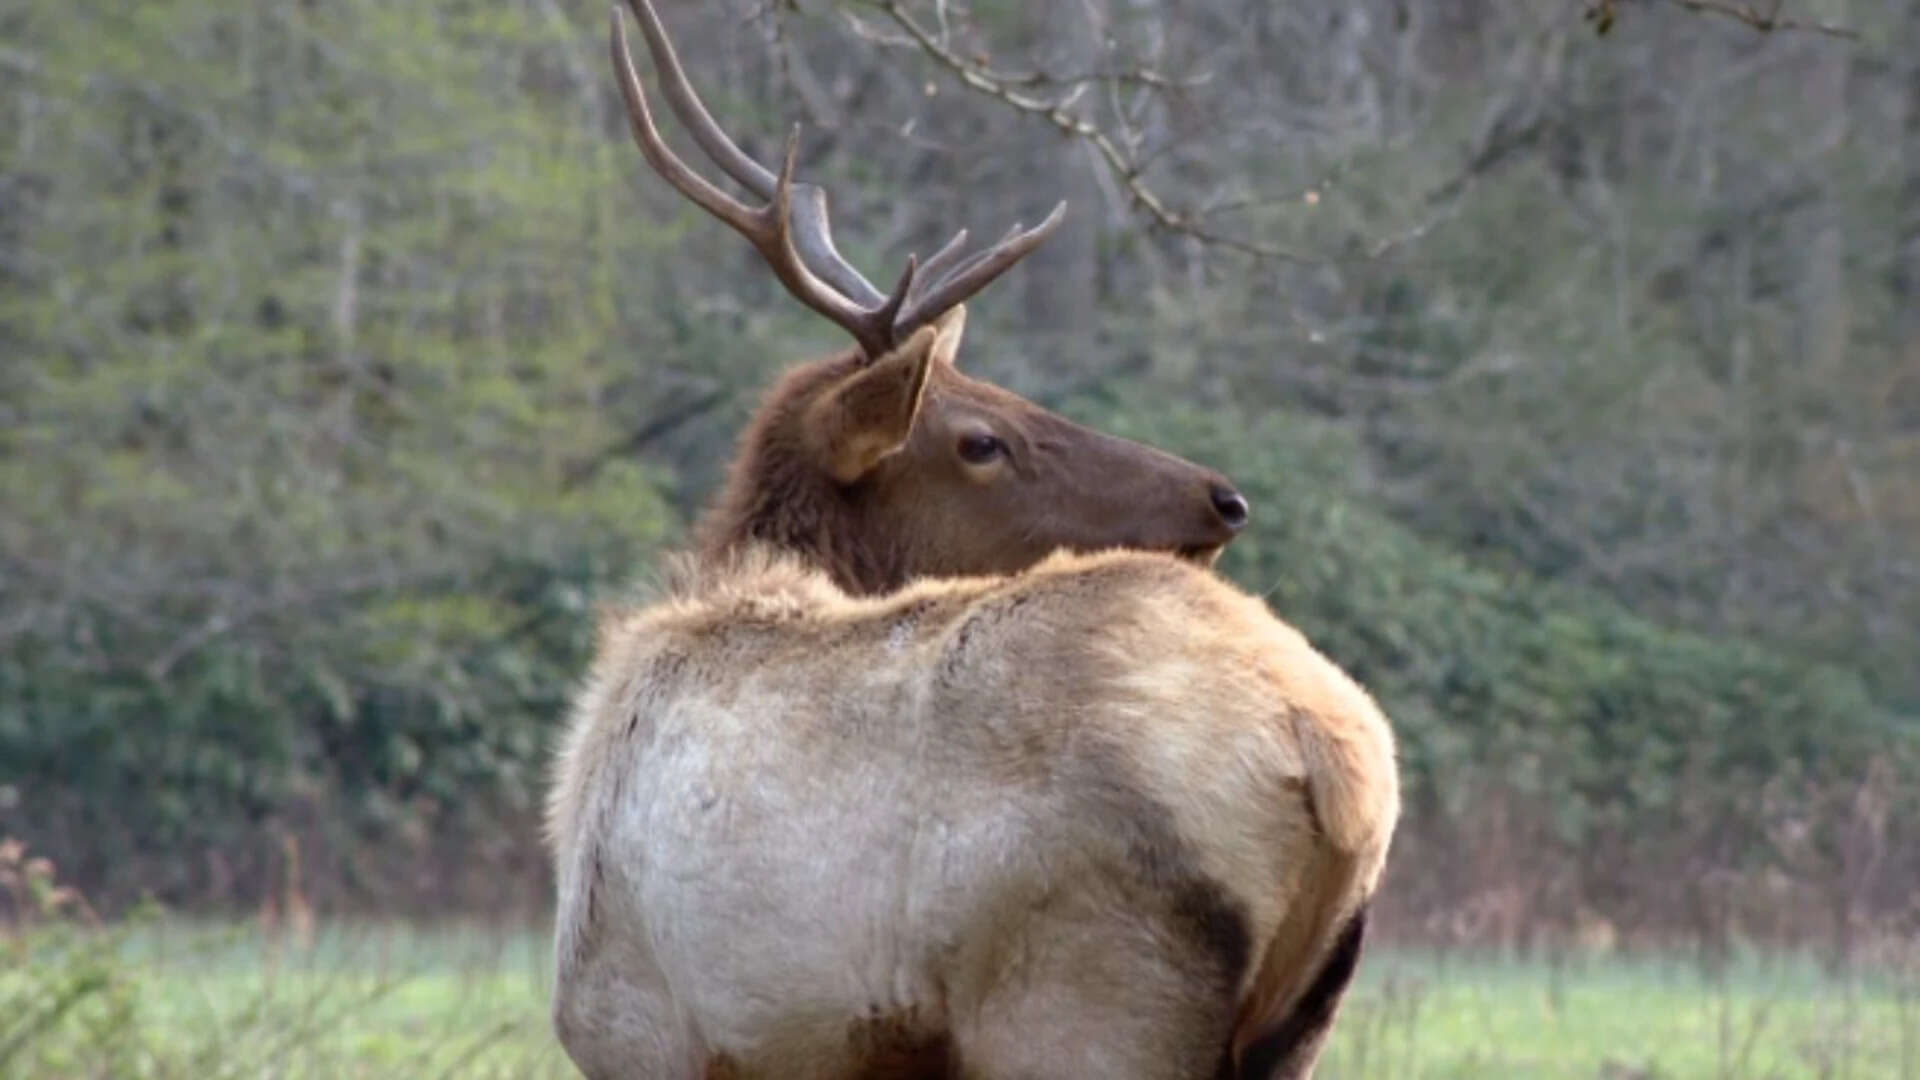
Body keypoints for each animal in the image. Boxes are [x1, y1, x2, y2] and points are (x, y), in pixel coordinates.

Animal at [545, 3, 1400, 1077]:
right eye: (981, 436)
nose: (1222, 499)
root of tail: (1332, 757)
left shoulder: (640, 1029)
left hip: (1086, 1000)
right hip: (1291, 1024)